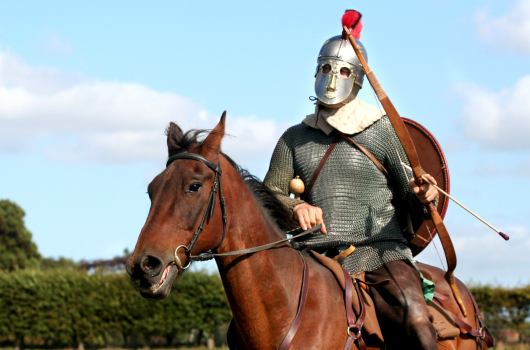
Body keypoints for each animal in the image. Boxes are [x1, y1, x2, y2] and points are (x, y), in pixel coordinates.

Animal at [126, 113, 488, 348]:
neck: (280, 309)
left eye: (194, 186)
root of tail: (460, 290)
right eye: (151, 190)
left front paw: (424, 192)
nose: (143, 266)